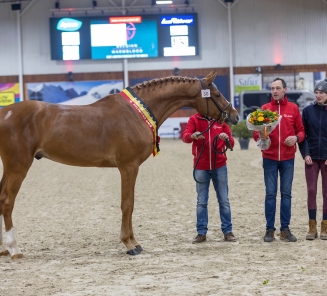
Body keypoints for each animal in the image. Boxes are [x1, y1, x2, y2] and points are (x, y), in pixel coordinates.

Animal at [0, 71, 240, 256]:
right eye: (217, 94)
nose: (235, 115)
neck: (135, 113)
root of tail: (5, 112)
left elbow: (130, 204)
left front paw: (134, 242)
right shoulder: (128, 167)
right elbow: (128, 204)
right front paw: (130, 244)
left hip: (9, 168)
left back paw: (4, 249)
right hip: (18, 166)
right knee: (8, 202)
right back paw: (14, 249)